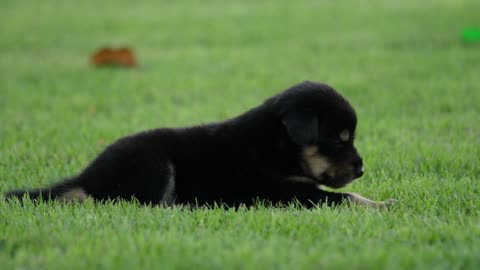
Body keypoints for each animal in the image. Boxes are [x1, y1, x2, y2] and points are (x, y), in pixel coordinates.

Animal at [4, 81, 394, 208]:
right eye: (337, 141)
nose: (362, 169)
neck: (279, 145)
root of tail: (87, 176)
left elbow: (348, 194)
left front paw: (383, 201)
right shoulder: (286, 192)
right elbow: (346, 197)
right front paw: (382, 205)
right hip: (154, 163)